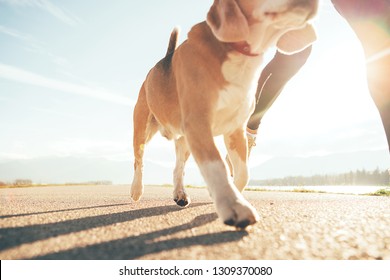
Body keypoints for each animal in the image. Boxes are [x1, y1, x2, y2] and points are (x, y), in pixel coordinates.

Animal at [129, 0, 318, 228]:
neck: (239, 55)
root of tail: (163, 60)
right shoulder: (199, 124)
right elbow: (217, 165)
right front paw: (233, 206)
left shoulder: (235, 130)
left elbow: (243, 173)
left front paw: (231, 196)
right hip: (143, 129)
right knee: (138, 160)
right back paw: (136, 189)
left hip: (185, 141)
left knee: (178, 168)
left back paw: (180, 193)